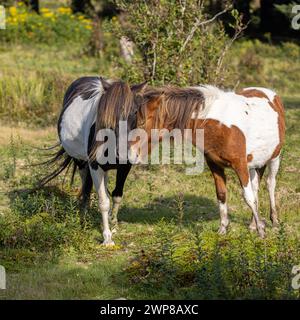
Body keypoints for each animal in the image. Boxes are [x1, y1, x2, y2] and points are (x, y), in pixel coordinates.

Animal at [39, 75, 147, 245]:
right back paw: (84, 214)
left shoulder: (125, 166)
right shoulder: (95, 166)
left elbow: (117, 196)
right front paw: (107, 237)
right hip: (80, 161)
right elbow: (103, 202)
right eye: (108, 116)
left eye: (135, 112)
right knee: (85, 186)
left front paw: (113, 225)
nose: (123, 152)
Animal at [131, 85, 286, 238]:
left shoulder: (240, 165)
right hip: (256, 162)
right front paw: (223, 229)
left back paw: (274, 222)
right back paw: (253, 224)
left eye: (142, 123)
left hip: (274, 157)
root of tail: (271, 93)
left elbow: (248, 197)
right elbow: (222, 194)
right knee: (256, 187)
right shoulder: (215, 165)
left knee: (270, 184)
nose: (132, 155)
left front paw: (261, 231)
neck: (219, 126)